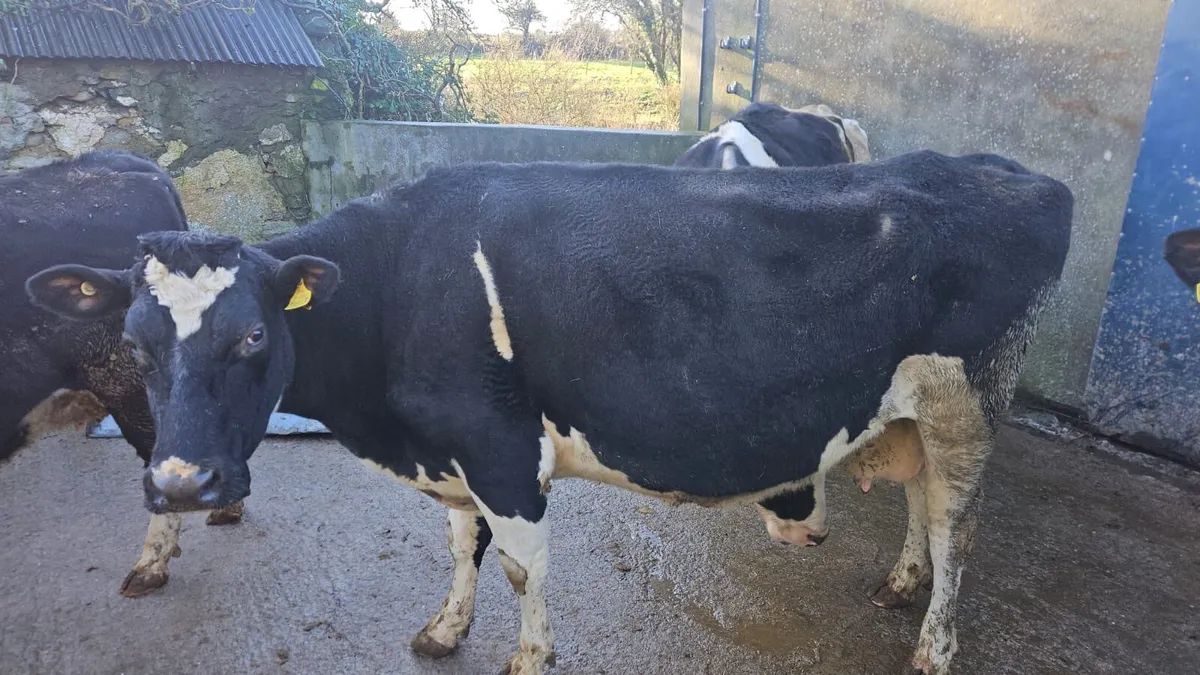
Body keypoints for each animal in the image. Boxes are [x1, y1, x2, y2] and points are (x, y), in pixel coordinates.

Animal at [26, 150, 1074, 675]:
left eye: (252, 336)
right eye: (134, 342)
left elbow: (522, 568)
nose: (180, 483)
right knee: (919, 503)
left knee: (957, 525)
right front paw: (444, 629)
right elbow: (461, 544)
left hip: (966, 400)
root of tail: (1011, 169)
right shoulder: (451, 450)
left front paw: (527, 658)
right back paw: (900, 583)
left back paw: (934, 645)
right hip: (915, 407)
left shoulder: (498, 445)